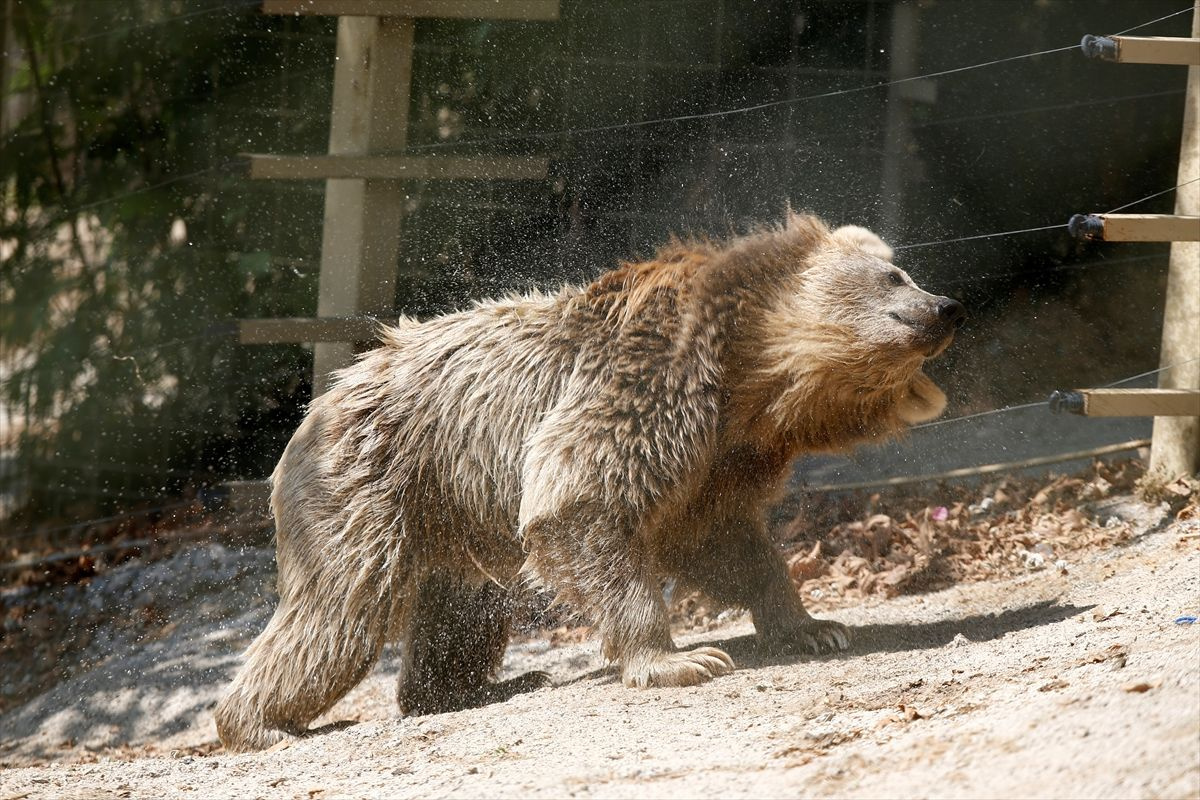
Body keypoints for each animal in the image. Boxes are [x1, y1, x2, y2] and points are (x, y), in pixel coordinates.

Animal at [216, 211, 964, 753]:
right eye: (896, 274)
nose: (947, 306)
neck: (749, 377)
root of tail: (324, 400)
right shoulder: (647, 383)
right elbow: (580, 500)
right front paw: (683, 660)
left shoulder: (718, 458)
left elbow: (723, 542)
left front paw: (812, 625)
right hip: (368, 485)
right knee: (337, 612)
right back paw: (258, 723)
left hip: (452, 508)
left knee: (462, 611)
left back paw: (476, 685)